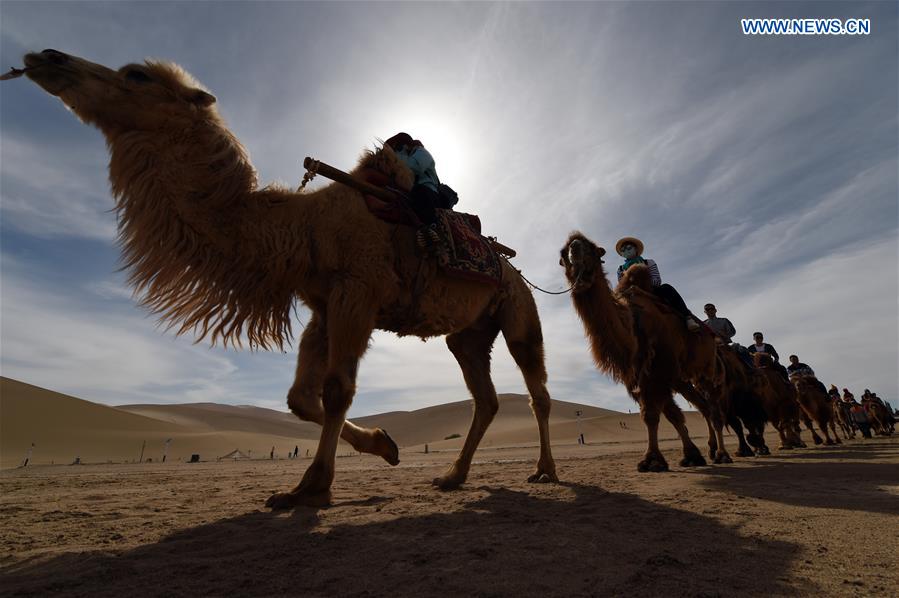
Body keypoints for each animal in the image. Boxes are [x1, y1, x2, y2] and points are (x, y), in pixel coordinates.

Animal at [19, 50, 556, 506]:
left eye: (136, 75)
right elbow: (300, 398)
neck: (303, 229)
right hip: (468, 333)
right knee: (485, 399)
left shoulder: (357, 294)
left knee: (537, 392)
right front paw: (384, 445)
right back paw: (453, 476)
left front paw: (311, 487)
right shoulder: (324, 307)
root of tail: (511, 266)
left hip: (517, 310)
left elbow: (337, 389)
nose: (47, 57)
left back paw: (545, 470)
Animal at [560, 232, 736, 472]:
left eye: (592, 248)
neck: (633, 324)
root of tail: (711, 337)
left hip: (706, 370)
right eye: (564, 253)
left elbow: (653, 415)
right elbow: (670, 415)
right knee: (704, 407)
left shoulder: (659, 370)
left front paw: (652, 459)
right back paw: (711, 450)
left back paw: (722, 454)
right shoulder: (645, 373)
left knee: (715, 411)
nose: (575, 252)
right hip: (682, 379)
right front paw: (690, 456)